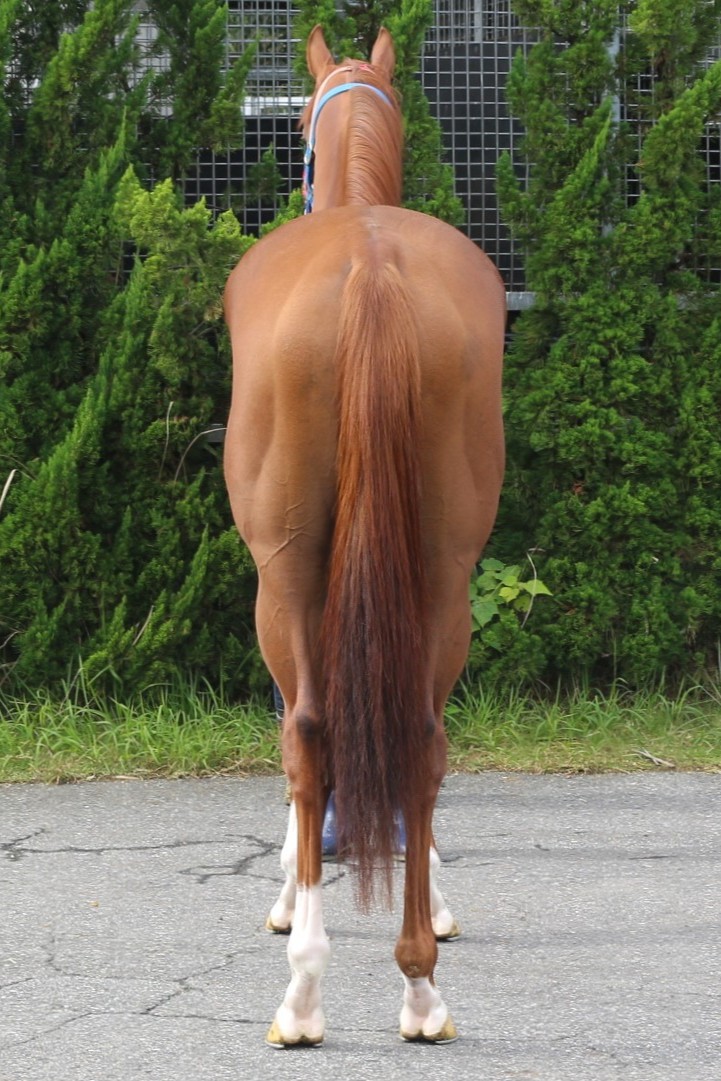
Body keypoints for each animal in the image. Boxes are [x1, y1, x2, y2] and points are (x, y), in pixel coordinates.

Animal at [223, 25, 506, 1047]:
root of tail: (371, 269)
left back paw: (304, 989)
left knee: (309, 730)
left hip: (286, 576)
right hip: (443, 574)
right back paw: (419, 985)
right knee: (421, 735)